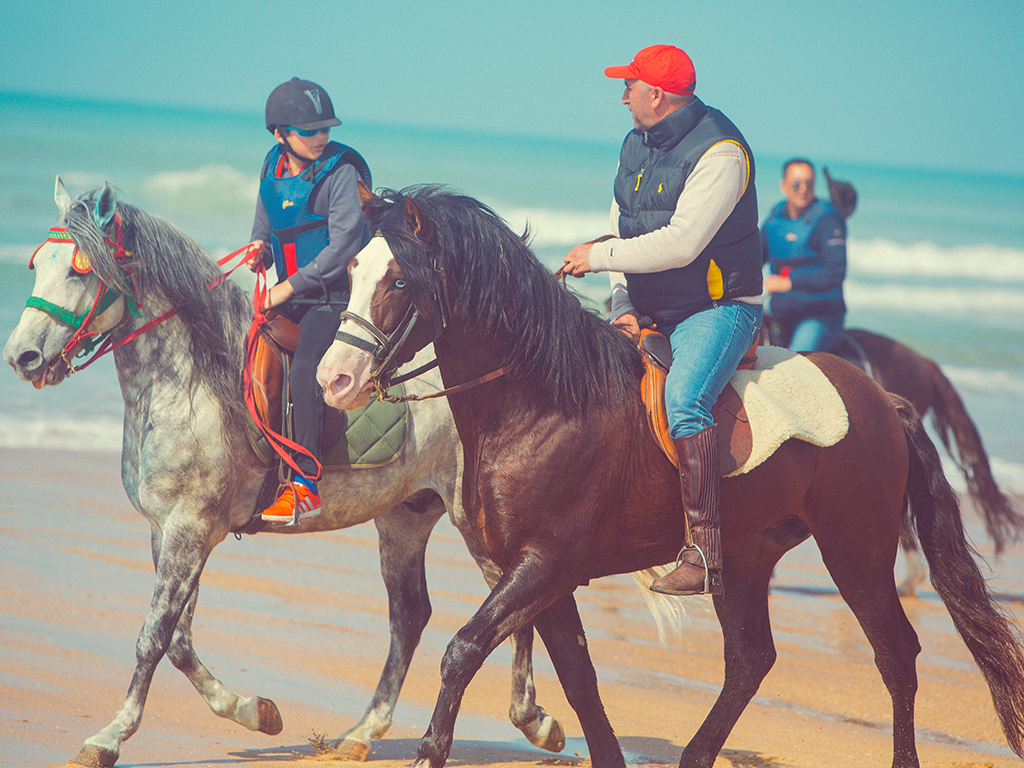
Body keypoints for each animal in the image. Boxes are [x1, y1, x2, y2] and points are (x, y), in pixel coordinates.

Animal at [315, 185, 1024, 768]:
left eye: (399, 281)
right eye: (351, 270)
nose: (334, 380)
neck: (538, 400)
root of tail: (883, 399)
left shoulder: (542, 564)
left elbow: (463, 649)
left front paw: (430, 750)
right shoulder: (544, 575)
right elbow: (579, 677)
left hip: (856, 550)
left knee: (896, 654)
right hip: (745, 557)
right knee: (751, 660)